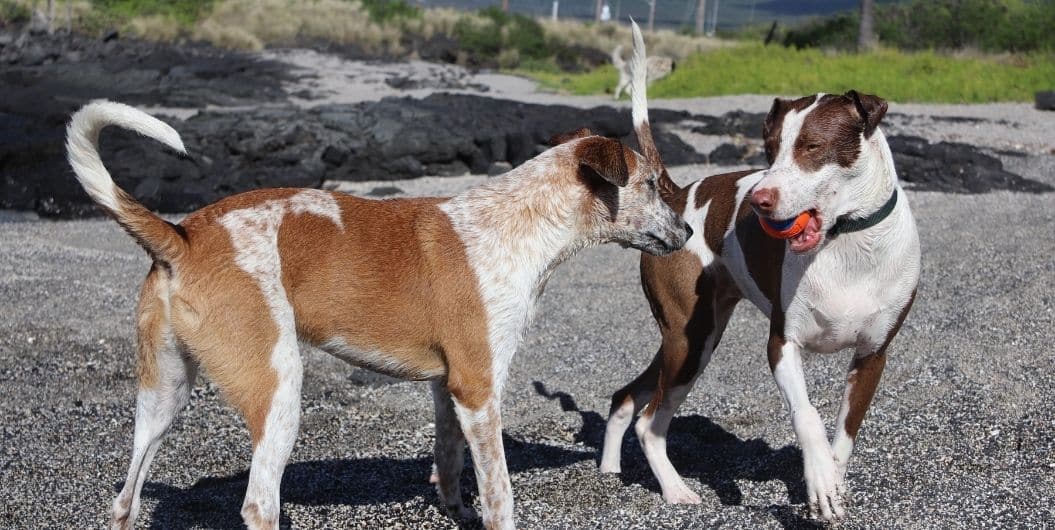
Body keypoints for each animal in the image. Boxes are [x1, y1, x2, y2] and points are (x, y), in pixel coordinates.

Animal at [68, 78, 692, 525]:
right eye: (653, 186)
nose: (688, 232)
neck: (519, 220)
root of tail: (184, 234)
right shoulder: (480, 388)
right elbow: (500, 495)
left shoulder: (449, 389)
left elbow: (449, 465)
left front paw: (454, 509)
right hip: (277, 389)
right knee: (259, 503)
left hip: (163, 395)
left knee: (124, 500)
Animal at [599, 24, 919, 521]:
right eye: (768, 150)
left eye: (812, 147)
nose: (758, 200)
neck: (846, 242)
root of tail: (676, 195)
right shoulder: (782, 345)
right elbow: (808, 417)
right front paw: (819, 478)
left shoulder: (872, 358)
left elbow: (844, 435)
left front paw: (832, 481)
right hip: (690, 342)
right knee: (650, 423)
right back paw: (675, 490)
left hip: (687, 340)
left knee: (627, 397)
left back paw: (610, 470)